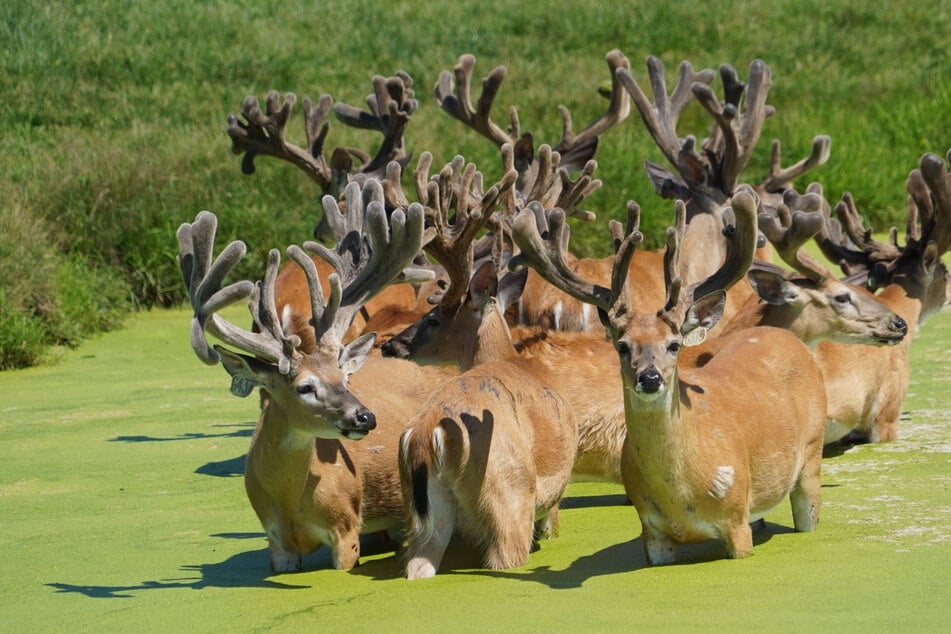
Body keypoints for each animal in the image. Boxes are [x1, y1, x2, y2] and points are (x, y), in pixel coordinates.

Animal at [177, 179, 459, 572]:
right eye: (304, 387)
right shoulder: (276, 541)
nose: (365, 416)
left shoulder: (346, 528)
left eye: (346, 379)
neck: (290, 501)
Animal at [509, 188, 828, 564]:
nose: (650, 378)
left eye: (673, 344)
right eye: (622, 346)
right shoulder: (652, 531)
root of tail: (785, 337)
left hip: (812, 454)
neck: (681, 496)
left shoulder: (736, 519)